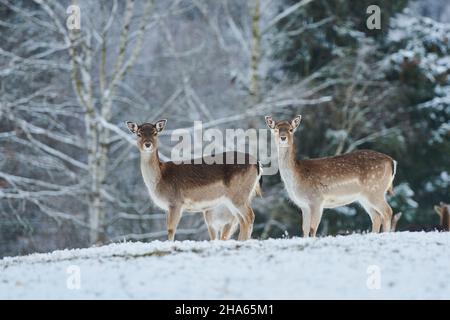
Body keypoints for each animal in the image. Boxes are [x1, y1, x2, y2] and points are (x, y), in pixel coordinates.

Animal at [125, 120, 262, 240]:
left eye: (155, 133)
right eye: (138, 133)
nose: (147, 144)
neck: (159, 179)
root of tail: (257, 164)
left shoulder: (175, 202)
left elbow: (171, 229)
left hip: (238, 195)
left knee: (249, 216)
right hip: (233, 199)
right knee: (242, 220)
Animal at [266, 115, 396, 238]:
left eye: (291, 129)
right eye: (276, 129)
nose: (283, 137)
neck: (297, 177)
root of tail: (392, 161)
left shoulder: (317, 199)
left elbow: (313, 229)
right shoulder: (304, 205)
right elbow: (305, 230)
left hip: (375, 190)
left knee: (387, 211)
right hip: (364, 197)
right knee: (376, 217)